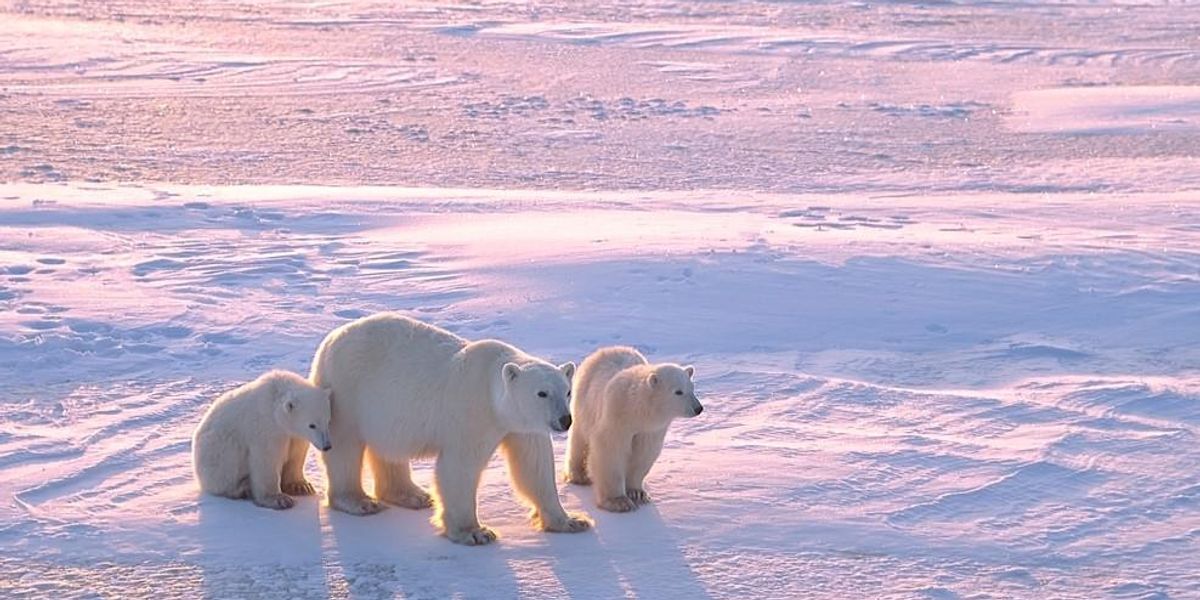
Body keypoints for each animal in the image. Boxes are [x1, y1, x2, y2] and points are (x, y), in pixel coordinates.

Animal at [193, 372, 333, 508]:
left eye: (327, 421)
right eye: (312, 425)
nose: (327, 446)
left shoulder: (294, 435)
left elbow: (296, 455)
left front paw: (301, 486)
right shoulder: (266, 427)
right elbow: (266, 458)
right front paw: (279, 499)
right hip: (217, 452)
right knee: (225, 472)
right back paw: (242, 489)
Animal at [309, 316, 590, 547]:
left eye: (567, 391)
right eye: (541, 393)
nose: (565, 420)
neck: (491, 388)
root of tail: (330, 339)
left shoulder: (522, 426)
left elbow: (535, 466)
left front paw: (571, 521)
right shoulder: (472, 412)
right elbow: (459, 467)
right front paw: (475, 533)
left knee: (389, 449)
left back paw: (412, 495)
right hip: (347, 391)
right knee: (345, 446)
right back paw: (359, 501)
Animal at [561, 348, 700, 511]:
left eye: (692, 388)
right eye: (678, 391)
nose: (698, 408)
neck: (636, 410)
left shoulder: (650, 430)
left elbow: (643, 454)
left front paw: (637, 493)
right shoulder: (616, 418)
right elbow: (610, 451)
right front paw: (618, 501)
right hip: (584, 399)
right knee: (579, 437)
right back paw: (578, 476)